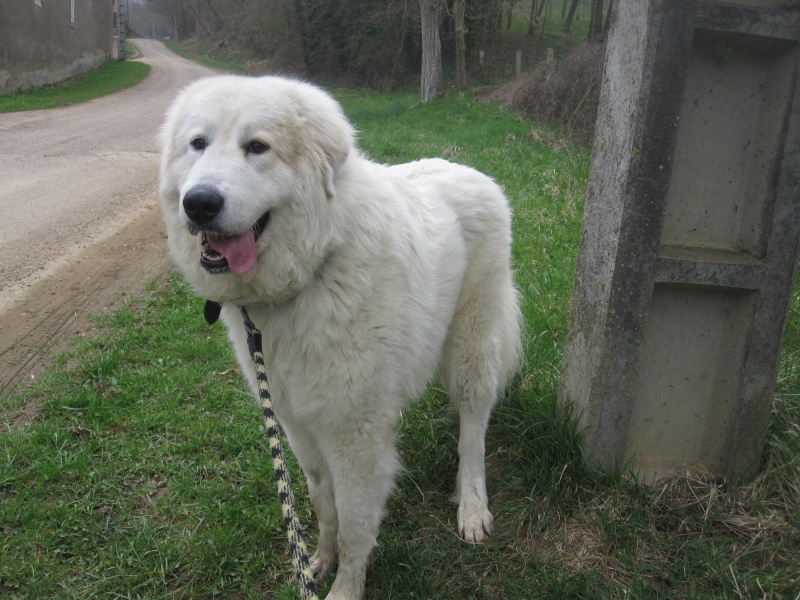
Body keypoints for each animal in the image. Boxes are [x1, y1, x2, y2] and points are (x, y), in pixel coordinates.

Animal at [159, 76, 520, 600]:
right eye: (198, 144)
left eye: (257, 146)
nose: (199, 203)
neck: (314, 268)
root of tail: (472, 172)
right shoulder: (298, 425)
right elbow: (321, 503)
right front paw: (317, 563)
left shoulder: (354, 437)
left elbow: (354, 525)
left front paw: (345, 588)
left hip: (473, 346)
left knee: (473, 433)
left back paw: (471, 507)